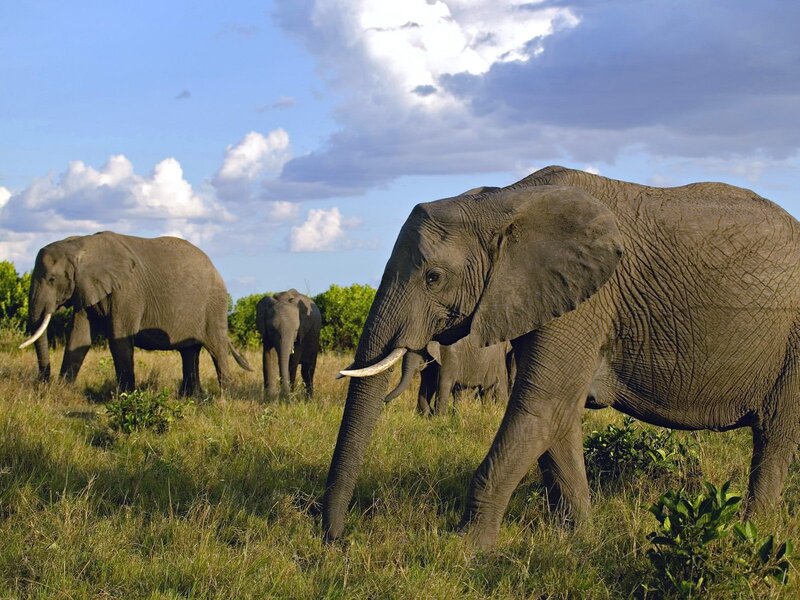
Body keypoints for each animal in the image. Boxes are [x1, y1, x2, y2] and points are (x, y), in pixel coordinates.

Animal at [20, 231, 251, 395]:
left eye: (52, 279)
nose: (42, 382)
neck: (81, 244)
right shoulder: (86, 288)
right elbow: (79, 337)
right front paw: (63, 391)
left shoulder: (127, 292)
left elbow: (119, 339)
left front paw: (124, 396)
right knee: (189, 351)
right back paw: (190, 397)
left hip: (214, 306)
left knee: (216, 348)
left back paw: (224, 398)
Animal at [384, 336, 513, 415]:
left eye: (420, 349)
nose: (384, 401)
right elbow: (429, 383)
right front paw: (427, 415)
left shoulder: (450, 354)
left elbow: (443, 383)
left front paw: (438, 418)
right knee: (463, 392)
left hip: (497, 360)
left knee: (494, 387)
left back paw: (498, 412)